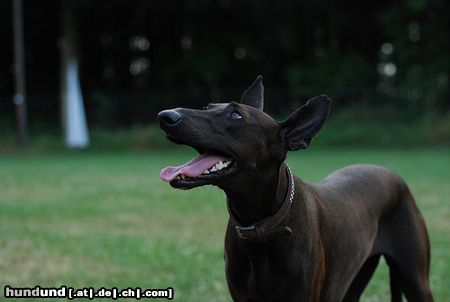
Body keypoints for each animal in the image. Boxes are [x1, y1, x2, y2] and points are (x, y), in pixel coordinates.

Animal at [157, 76, 432, 300]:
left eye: (236, 116)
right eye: (208, 107)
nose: (165, 116)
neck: (260, 224)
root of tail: (390, 173)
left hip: (416, 280)